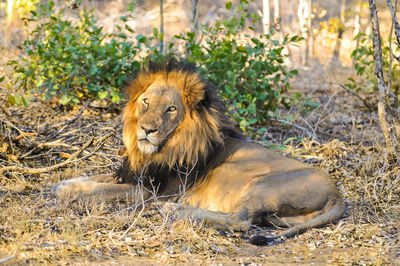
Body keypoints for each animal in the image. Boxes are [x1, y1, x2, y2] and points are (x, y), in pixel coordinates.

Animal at [53, 58, 346, 245]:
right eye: (145, 101)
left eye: (171, 109)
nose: (147, 129)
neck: (157, 151)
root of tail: (338, 194)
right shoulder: (134, 175)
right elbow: (95, 179)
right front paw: (62, 185)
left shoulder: (150, 191)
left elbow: (104, 190)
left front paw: (71, 193)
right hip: (279, 217)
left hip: (262, 184)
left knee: (241, 220)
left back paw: (174, 210)